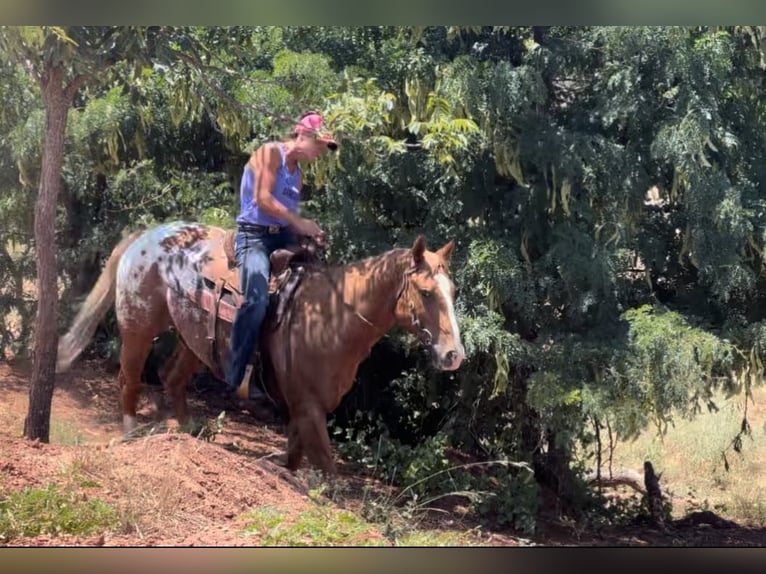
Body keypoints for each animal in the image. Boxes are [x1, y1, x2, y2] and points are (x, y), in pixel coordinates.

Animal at [57, 220, 464, 472]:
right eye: (426, 292)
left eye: (453, 291)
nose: (453, 355)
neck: (333, 317)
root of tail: (146, 235)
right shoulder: (309, 408)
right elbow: (328, 470)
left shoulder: (306, 410)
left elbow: (295, 461)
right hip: (138, 328)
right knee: (129, 378)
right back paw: (131, 433)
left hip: (195, 342)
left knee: (171, 378)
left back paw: (189, 433)